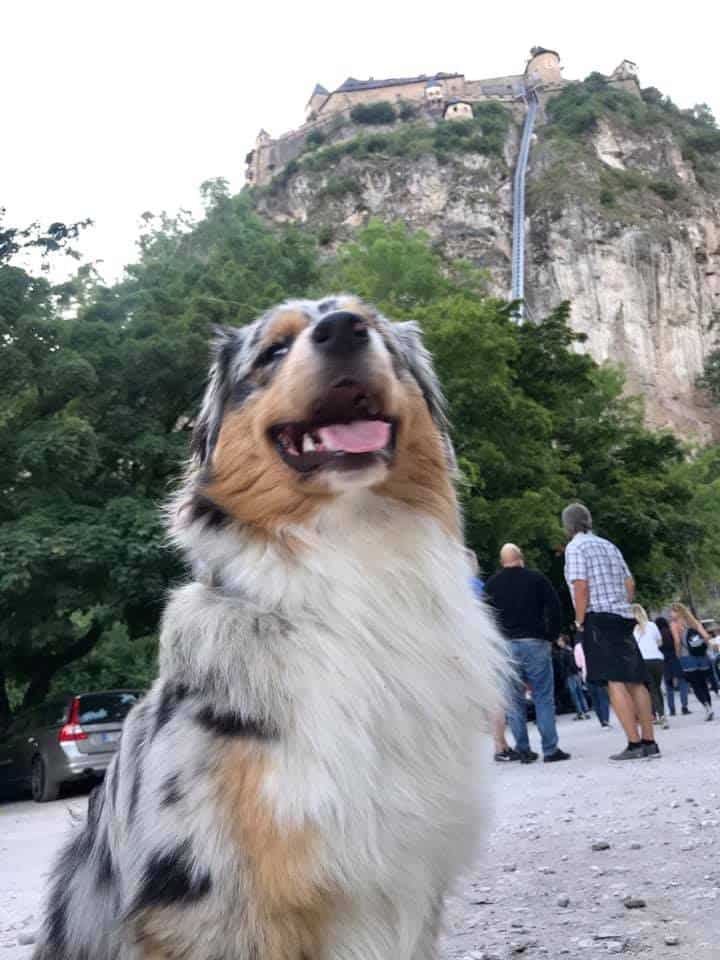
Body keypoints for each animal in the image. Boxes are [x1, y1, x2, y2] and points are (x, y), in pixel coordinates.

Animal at [33, 296, 504, 960]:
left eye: (375, 327)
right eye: (274, 350)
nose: (342, 330)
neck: (352, 557)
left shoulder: (412, 880)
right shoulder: (213, 902)